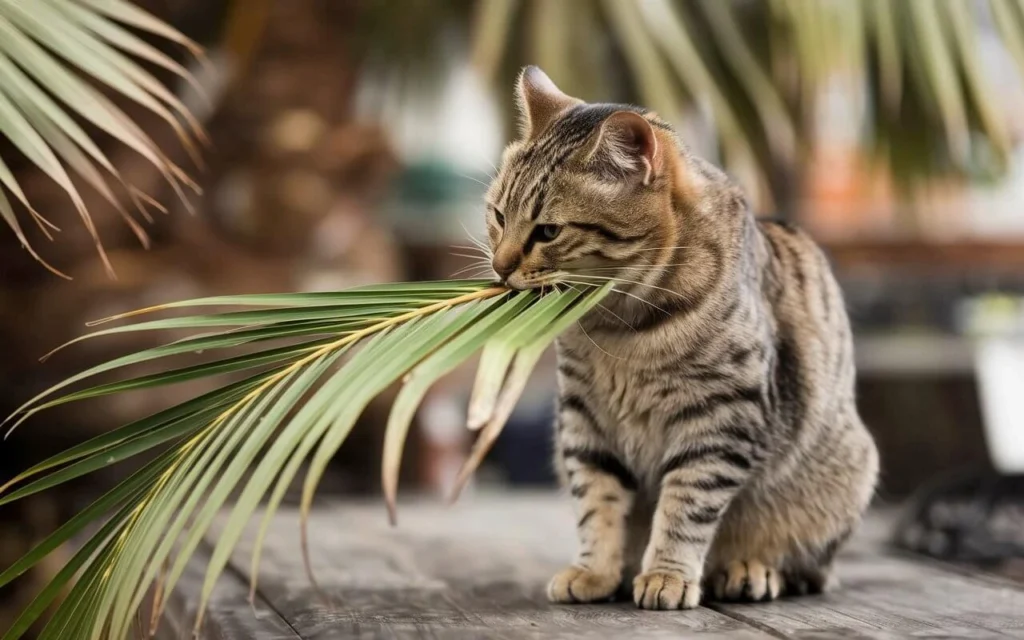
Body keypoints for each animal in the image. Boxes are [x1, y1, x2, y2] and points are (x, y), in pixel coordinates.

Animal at [481, 67, 880, 610]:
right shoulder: (583, 419)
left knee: (803, 567)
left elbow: (685, 507)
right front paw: (596, 570)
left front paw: (666, 574)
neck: (617, 328)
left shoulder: (720, 419)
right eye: (499, 216)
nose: (499, 268)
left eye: (547, 231)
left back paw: (748, 569)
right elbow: (597, 503)